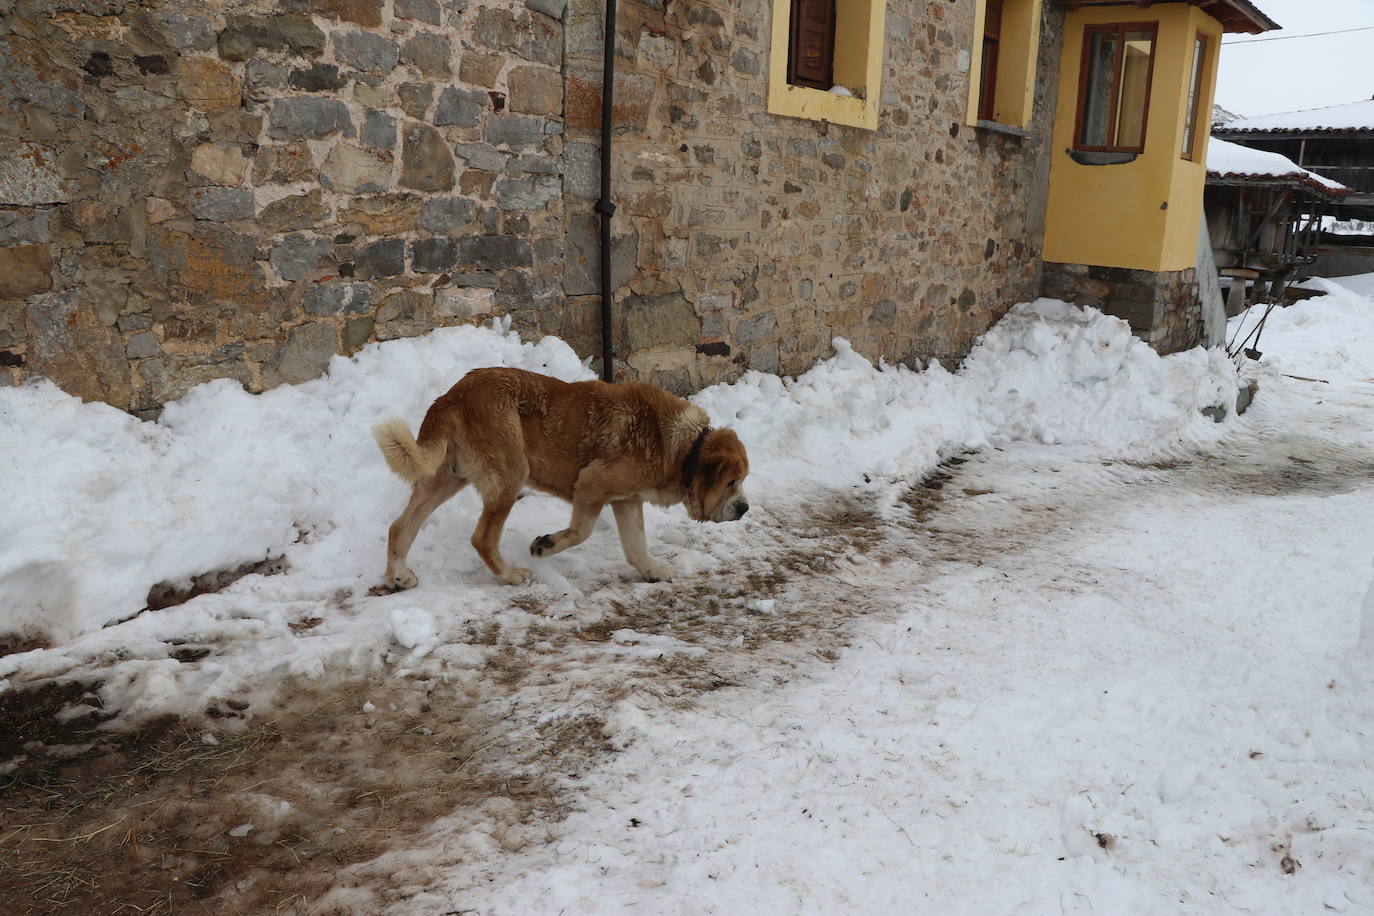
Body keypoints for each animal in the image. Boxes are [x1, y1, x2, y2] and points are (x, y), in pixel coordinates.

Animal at [370, 368, 747, 590]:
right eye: (731, 482)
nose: (744, 508)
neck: (685, 449)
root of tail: (453, 395)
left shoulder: (627, 500)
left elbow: (636, 545)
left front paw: (651, 570)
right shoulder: (592, 484)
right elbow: (582, 532)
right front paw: (546, 544)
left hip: (445, 479)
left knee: (401, 527)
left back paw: (398, 576)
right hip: (511, 475)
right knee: (482, 538)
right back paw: (510, 575)